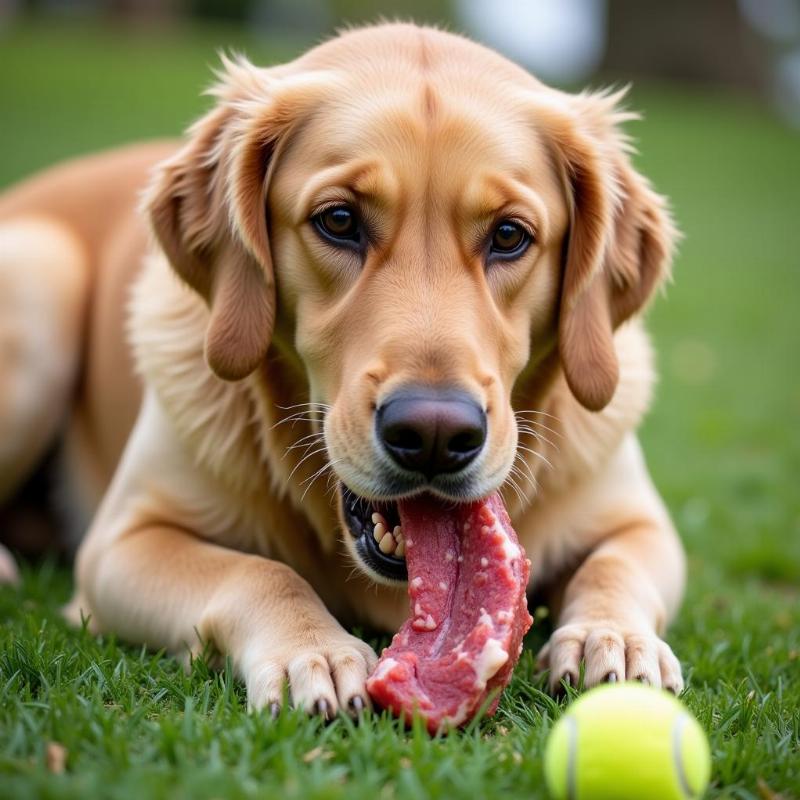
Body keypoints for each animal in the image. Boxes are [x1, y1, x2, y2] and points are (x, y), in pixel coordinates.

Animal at [1, 23, 688, 712]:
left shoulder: (643, 523)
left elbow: (615, 564)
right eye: (339, 220)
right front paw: (317, 652)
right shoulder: (120, 545)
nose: (434, 435)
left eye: (509, 235)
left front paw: (614, 638)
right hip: (43, 276)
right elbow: (259, 572)